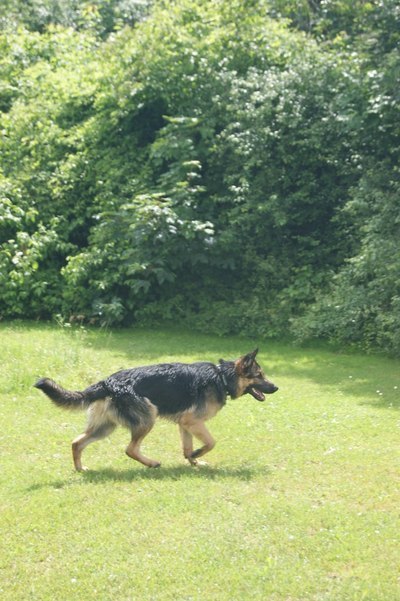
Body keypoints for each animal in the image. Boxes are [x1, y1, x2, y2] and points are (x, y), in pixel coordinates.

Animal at [34, 350, 278, 472]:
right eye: (260, 375)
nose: (276, 387)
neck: (222, 377)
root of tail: (106, 382)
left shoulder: (185, 424)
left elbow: (187, 448)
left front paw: (194, 462)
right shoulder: (193, 422)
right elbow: (210, 443)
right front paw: (198, 455)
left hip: (105, 428)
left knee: (76, 442)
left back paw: (80, 469)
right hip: (147, 418)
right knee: (130, 449)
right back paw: (152, 463)